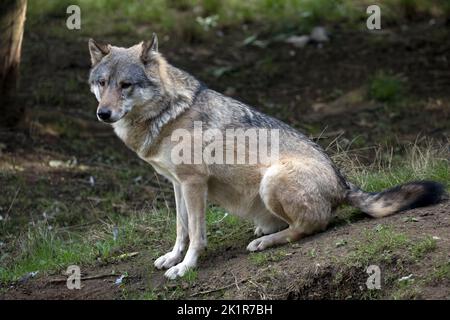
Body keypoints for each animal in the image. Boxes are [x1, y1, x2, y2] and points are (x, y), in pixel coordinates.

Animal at [88, 33, 446, 278]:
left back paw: (266, 241)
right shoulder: (178, 184)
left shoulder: (193, 183)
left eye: (126, 85)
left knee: (311, 227)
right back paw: (265, 231)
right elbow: (182, 229)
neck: (168, 114)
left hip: (271, 180)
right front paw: (173, 258)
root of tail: (343, 183)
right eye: (102, 83)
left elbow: (198, 236)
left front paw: (185, 267)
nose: (103, 114)